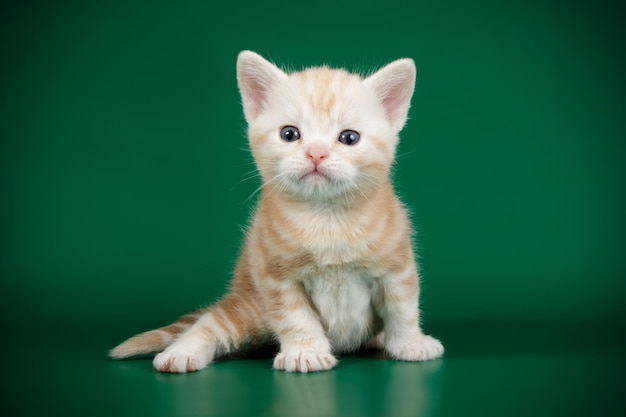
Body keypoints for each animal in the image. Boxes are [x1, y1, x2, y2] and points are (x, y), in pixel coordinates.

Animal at [109, 50, 442, 372]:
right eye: (290, 134)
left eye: (349, 137)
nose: (316, 153)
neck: (327, 218)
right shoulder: (276, 278)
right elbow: (295, 317)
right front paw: (306, 352)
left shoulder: (396, 268)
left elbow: (403, 308)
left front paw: (410, 343)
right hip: (251, 308)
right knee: (210, 324)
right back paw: (180, 353)